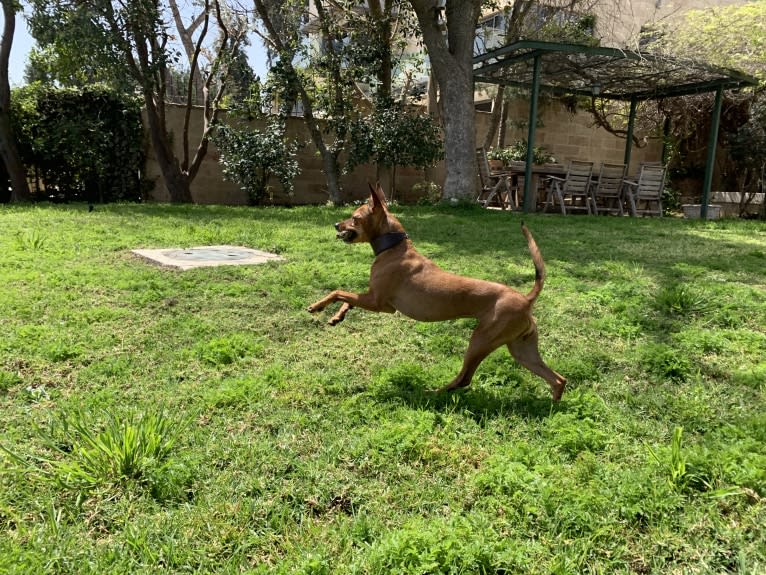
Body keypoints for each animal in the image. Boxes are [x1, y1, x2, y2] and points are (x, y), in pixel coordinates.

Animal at [308, 184, 568, 400]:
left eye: (355, 217)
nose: (336, 225)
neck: (394, 248)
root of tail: (526, 299)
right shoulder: (373, 299)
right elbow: (347, 299)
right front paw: (337, 316)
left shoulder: (379, 303)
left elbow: (338, 291)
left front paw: (318, 306)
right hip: (522, 349)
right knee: (558, 379)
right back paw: (552, 406)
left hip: (481, 340)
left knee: (465, 378)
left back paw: (432, 393)